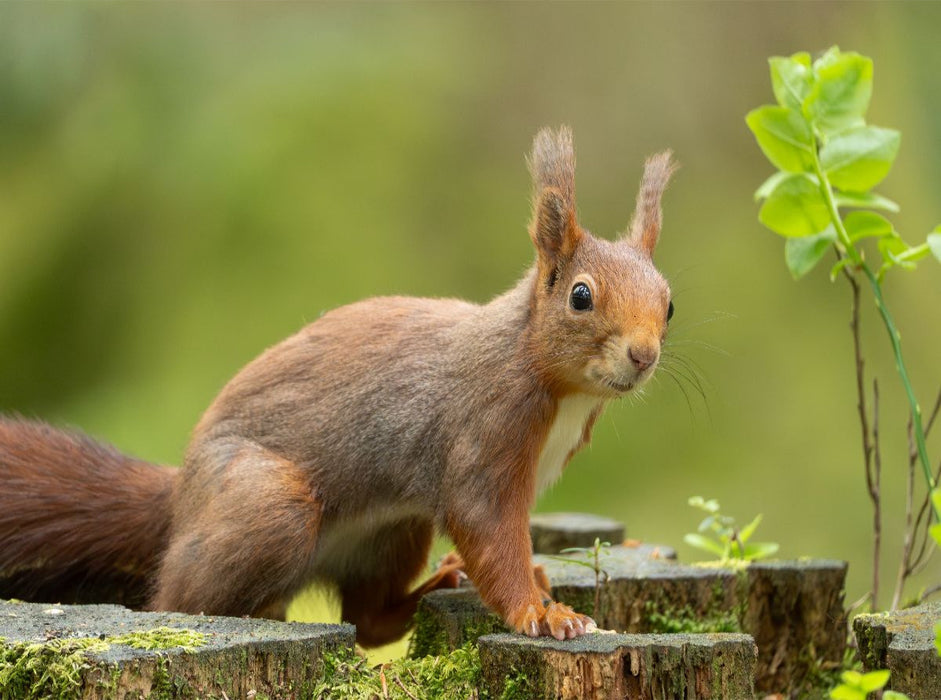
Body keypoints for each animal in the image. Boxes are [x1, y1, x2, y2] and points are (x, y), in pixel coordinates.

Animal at [0, 127, 675, 646]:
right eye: (580, 297)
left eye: (669, 304)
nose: (643, 355)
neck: (547, 376)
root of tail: (182, 496)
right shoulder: (483, 431)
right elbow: (489, 530)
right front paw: (540, 612)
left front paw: (536, 581)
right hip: (267, 506)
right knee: (178, 599)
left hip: (392, 530)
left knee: (368, 620)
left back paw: (434, 585)